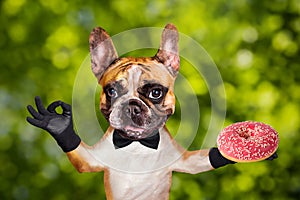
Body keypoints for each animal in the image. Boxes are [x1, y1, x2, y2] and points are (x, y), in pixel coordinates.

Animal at [25, 24, 246, 199]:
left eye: (156, 93)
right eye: (112, 91)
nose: (131, 105)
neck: (137, 144)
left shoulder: (179, 158)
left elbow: (199, 161)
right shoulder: (96, 157)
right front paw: (57, 124)